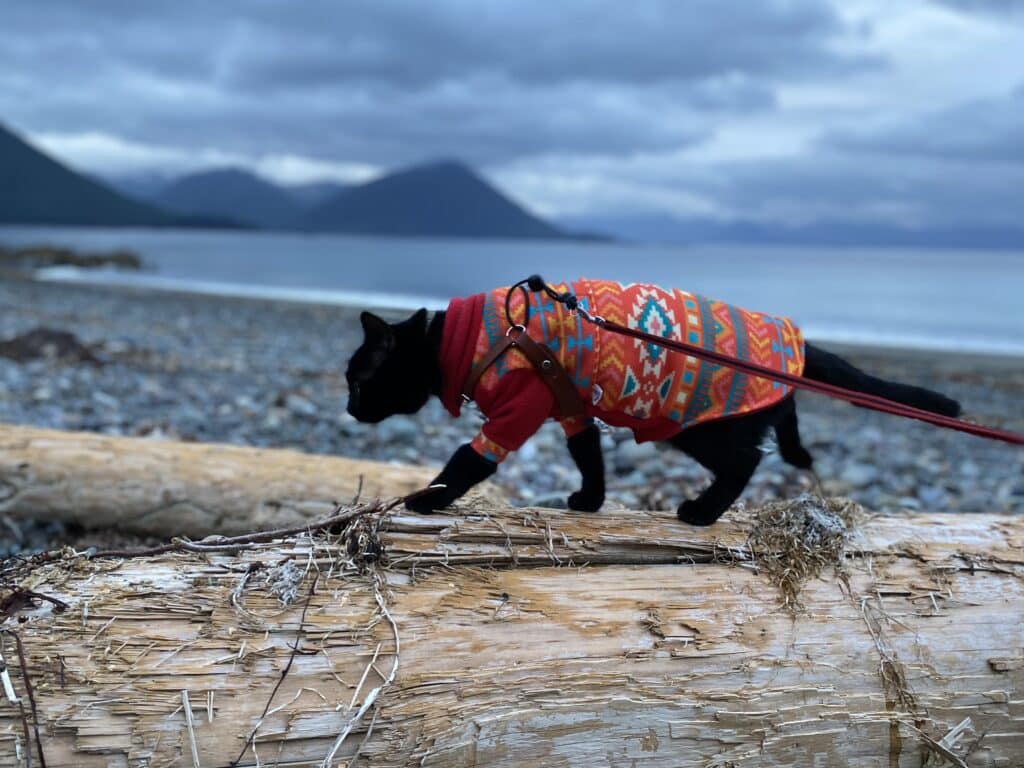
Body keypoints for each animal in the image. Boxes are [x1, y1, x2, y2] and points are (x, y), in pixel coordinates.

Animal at [348, 309, 962, 528]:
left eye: (356, 379)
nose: (348, 407)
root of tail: (799, 347)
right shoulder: (570, 406)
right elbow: (588, 457)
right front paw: (588, 502)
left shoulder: (515, 413)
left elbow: (464, 463)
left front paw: (423, 500)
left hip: (696, 428)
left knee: (745, 461)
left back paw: (701, 512)